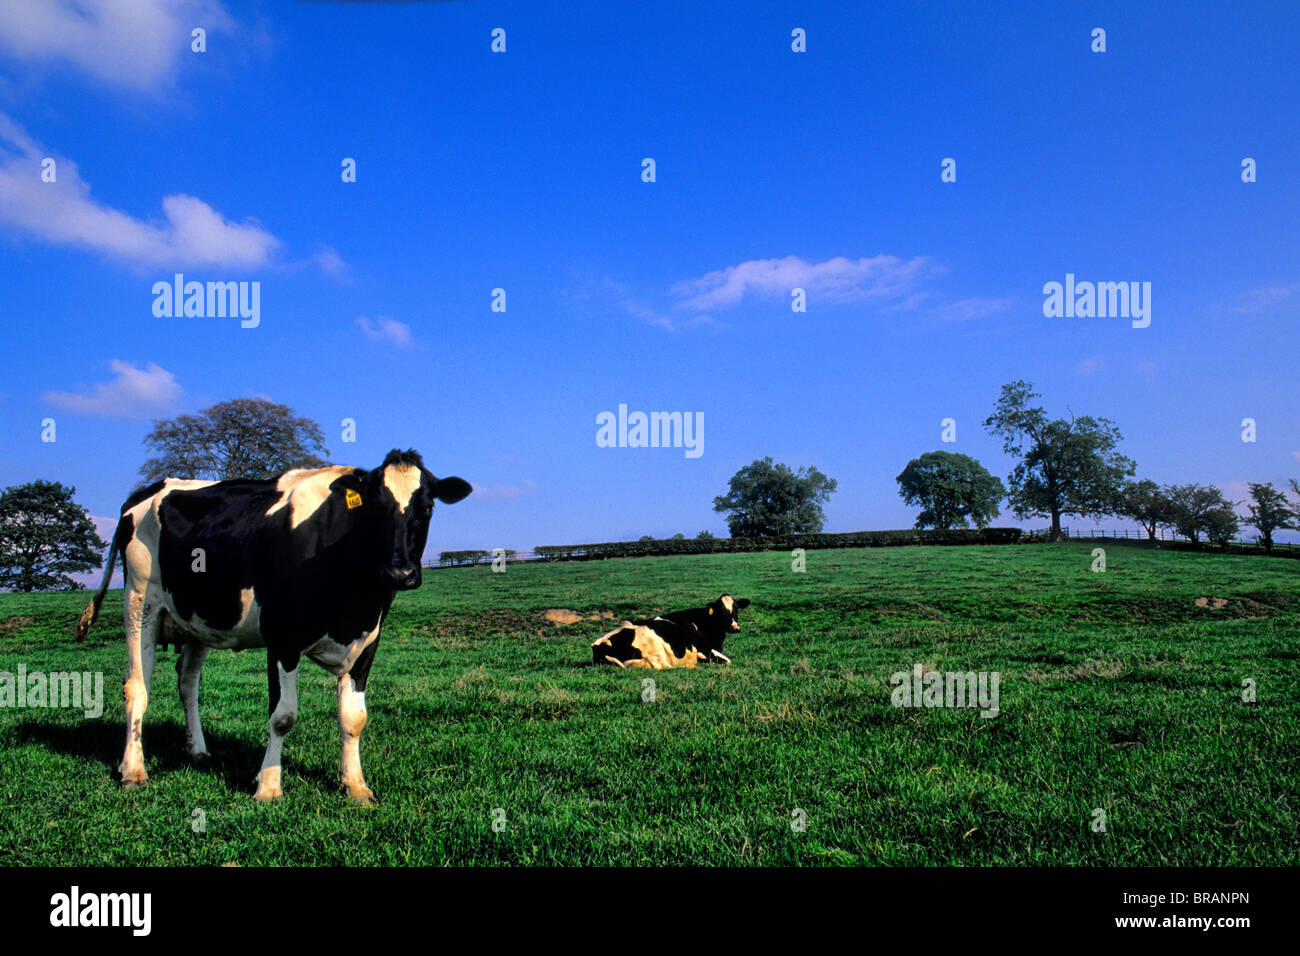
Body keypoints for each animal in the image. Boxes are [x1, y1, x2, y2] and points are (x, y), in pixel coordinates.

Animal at [74, 449, 470, 804]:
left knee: (188, 684)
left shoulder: (366, 642)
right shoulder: (282, 637)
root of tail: (150, 489)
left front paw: (356, 786)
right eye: (374, 509)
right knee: (136, 687)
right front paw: (267, 786)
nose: (400, 573)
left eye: (427, 509)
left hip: (197, 620)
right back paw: (132, 770)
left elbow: (354, 718)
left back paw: (197, 751)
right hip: (140, 601)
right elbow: (282, 716)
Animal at [591, 594, 751, 669]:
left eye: (736, 608)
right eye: (721, 611)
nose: (735, 627)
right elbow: (727, 660)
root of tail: (599, 645)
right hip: (656, 651)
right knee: (663, 667)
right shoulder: (705, 649)